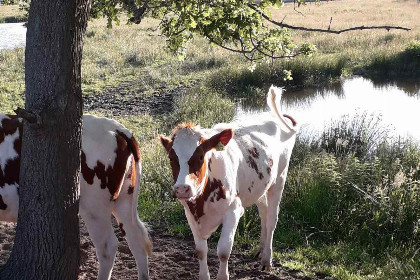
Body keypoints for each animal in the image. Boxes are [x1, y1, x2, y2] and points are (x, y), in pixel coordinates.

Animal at [158, 86, 298, 280]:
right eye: (172, 158)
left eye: (200, 156)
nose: (182, 189)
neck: (201, 203)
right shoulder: (190, 214)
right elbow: (200, 251)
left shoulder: (233, 210)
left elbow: (223, 251)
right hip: (259, 186)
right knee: (263, 211)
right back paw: (261, 250)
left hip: (279, 179)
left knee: (272, 218)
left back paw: (266, 260)